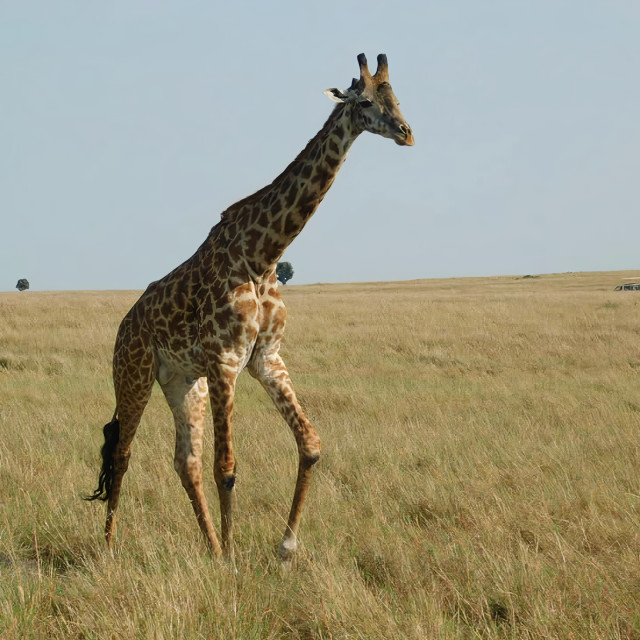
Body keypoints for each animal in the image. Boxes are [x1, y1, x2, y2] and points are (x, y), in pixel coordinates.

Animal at [86, 53, 416, 560]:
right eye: (364, 101)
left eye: (395, 95)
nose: (406, 132)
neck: (263, 256)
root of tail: (124, 326)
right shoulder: (226, 361)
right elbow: (228, 467)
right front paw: (234, 559)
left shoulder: (265, 358)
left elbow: (310, 444)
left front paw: (284, 545)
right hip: (134, 374)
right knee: (122, 453)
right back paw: (109, 546)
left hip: (184, 383)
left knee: (185, 460)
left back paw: (208, 545)